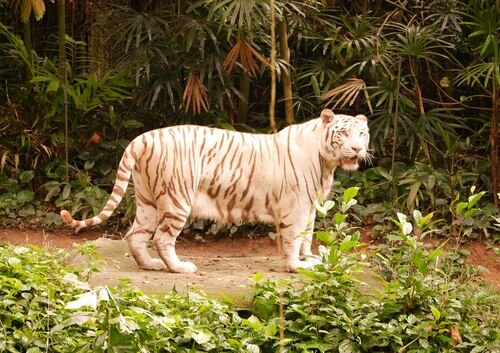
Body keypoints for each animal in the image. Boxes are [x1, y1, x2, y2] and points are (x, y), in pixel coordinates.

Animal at [60, 108, 370, 274]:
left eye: (362, 133)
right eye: (343, 133)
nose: (357, 149)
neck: (326, 163)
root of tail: (142, 138)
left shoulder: (309, 206)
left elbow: (307, 236)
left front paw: (310, 259)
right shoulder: (295, 206)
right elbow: (294, 238)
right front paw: (296, 266)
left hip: (147, 200)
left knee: (135, 235)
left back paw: (150, 265)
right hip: (177, 199)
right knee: (161, 238)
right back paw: (179, 268)